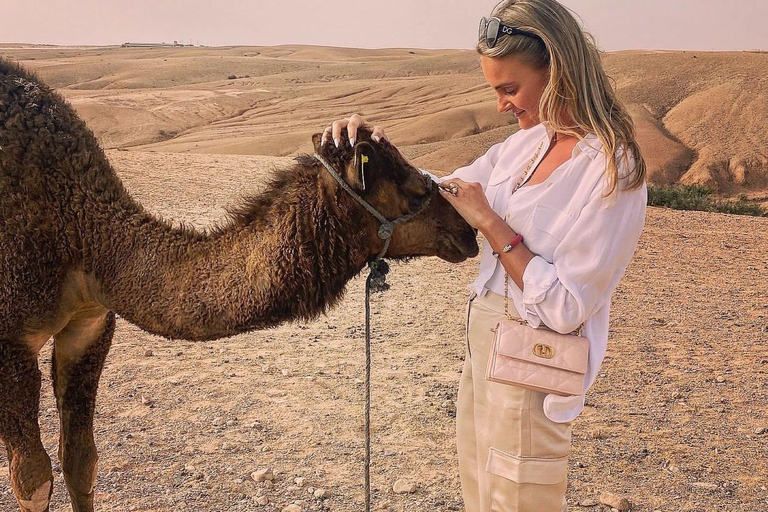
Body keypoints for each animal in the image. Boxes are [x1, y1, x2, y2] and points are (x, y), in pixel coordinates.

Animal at [0, 60, 476, 512]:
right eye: (414, 190)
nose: (469, 233)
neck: (84, 233)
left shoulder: (91, 323)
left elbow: (81, 462)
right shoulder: (10, 342)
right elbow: (33, 482)